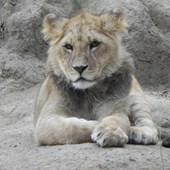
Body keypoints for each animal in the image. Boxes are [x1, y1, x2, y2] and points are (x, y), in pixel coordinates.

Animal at [33, 9, 158, 147]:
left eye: (94, 44)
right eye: (68, 46)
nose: (79, 68)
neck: (87, 92)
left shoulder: (114, 108)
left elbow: (114, 119)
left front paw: (110, 132)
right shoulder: (46, 121)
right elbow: (74, 127)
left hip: (136, 96)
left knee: (148, 123)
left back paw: (140, 133)